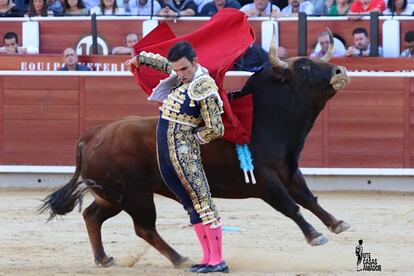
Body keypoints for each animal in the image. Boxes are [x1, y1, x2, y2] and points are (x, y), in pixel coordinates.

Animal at [39, 43, 350, 268]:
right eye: (305, 66)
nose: (340, 71)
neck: (263, 120)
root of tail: (91, 135)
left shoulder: (290, 173)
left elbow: (309, 199)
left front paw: (337, 223)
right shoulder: (265, 182)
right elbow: (291, 206)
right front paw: (315, 236)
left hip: (112, 195)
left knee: (92, 216)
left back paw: (104, 258)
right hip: (135, 196)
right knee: (144, 228)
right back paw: (180, 259)